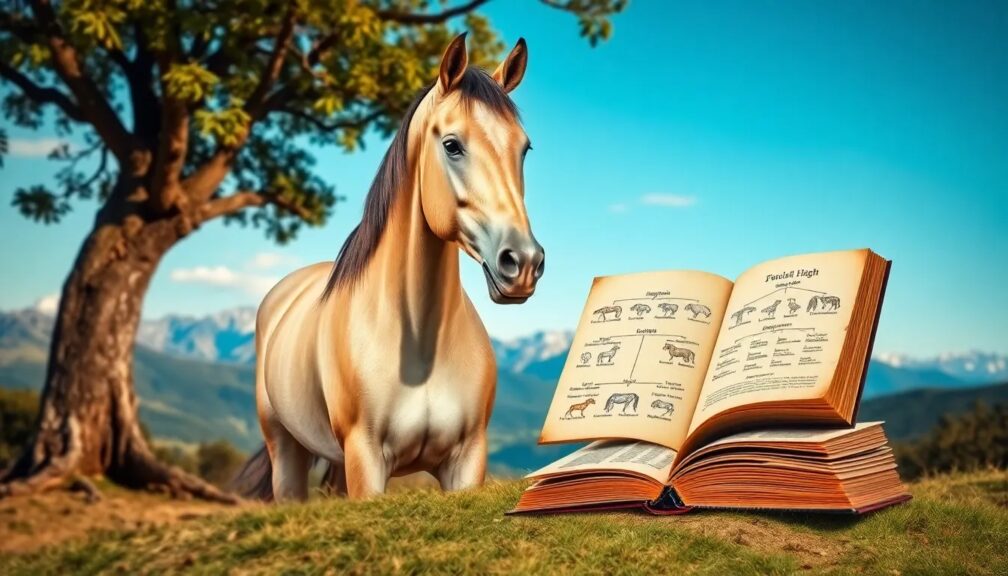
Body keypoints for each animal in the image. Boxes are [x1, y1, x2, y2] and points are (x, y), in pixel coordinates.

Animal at [234, 35, 543, 501]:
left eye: (524, 148)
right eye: (452, 145)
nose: (522, 263)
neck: (419, 345)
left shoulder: (467, 461)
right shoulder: (366, 459)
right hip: (285, 449)